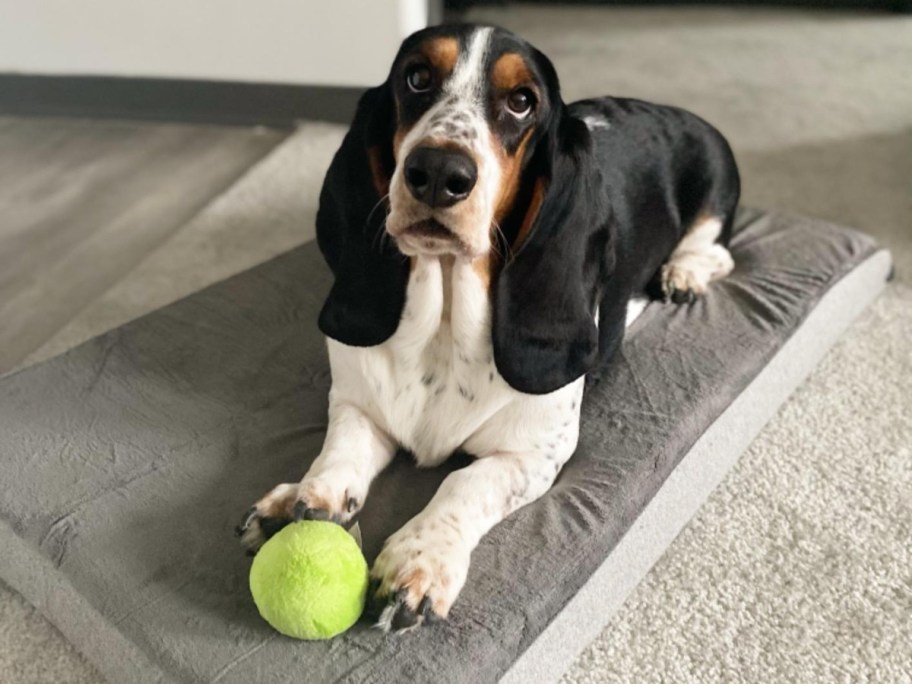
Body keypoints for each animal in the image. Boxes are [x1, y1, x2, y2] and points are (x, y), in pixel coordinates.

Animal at [237, 24, 740, 632]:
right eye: (417, 77)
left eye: (522, 100)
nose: (438, 174)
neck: (444, 320)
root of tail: (673, 109)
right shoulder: (356, 405)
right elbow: (341, 448)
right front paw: (303, 498)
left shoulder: (533, 454)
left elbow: (465, 481)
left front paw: (420, 559)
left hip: (714, 195)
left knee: (717, 252)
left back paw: (682, 274)